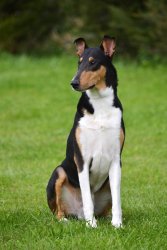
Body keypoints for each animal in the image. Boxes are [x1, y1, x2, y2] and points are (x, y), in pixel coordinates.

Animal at [46, 35, 124, 229]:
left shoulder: (115, 159)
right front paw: (92, 225)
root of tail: (78, 215)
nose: (73, 83)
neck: (99, 104)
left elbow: (117, 198)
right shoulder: (82, 159)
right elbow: (87, 196)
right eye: (79, 63)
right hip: (59, 172)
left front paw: (118, 224)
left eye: (93, 62)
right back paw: (68, 220)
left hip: (106, 186)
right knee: (58, 211)